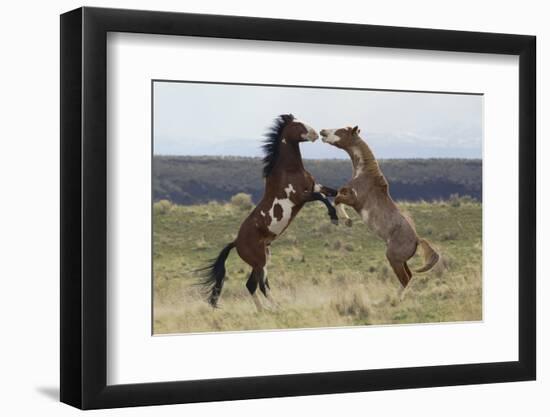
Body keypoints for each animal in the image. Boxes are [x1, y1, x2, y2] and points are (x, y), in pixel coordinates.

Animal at [320, 124, 440, 290]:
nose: (322, 132)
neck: (364, 174)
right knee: (409, 276)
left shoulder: (355, 199)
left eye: (341, 131)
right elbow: (338, 194)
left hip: (394, 258)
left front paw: (347, 220)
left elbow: (337, 199)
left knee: (405, 279)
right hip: (401, 261)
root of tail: (417, 239)